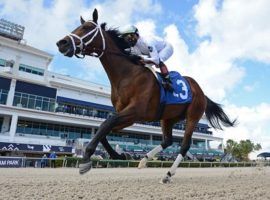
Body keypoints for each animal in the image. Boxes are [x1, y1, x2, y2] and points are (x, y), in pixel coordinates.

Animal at [56, 9, 236, 184]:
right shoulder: (128, 116)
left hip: (193, 116)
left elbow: (106, 124)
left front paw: (86, 159)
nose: (62, 43)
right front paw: (118, 155)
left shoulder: (135, 111)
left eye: (87, 27)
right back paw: (144, 160)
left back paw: (168, 174)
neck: (127, 74)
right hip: (168, 118)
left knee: (184, 145)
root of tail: (201, 91)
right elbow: (104, 127)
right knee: (168, 141)